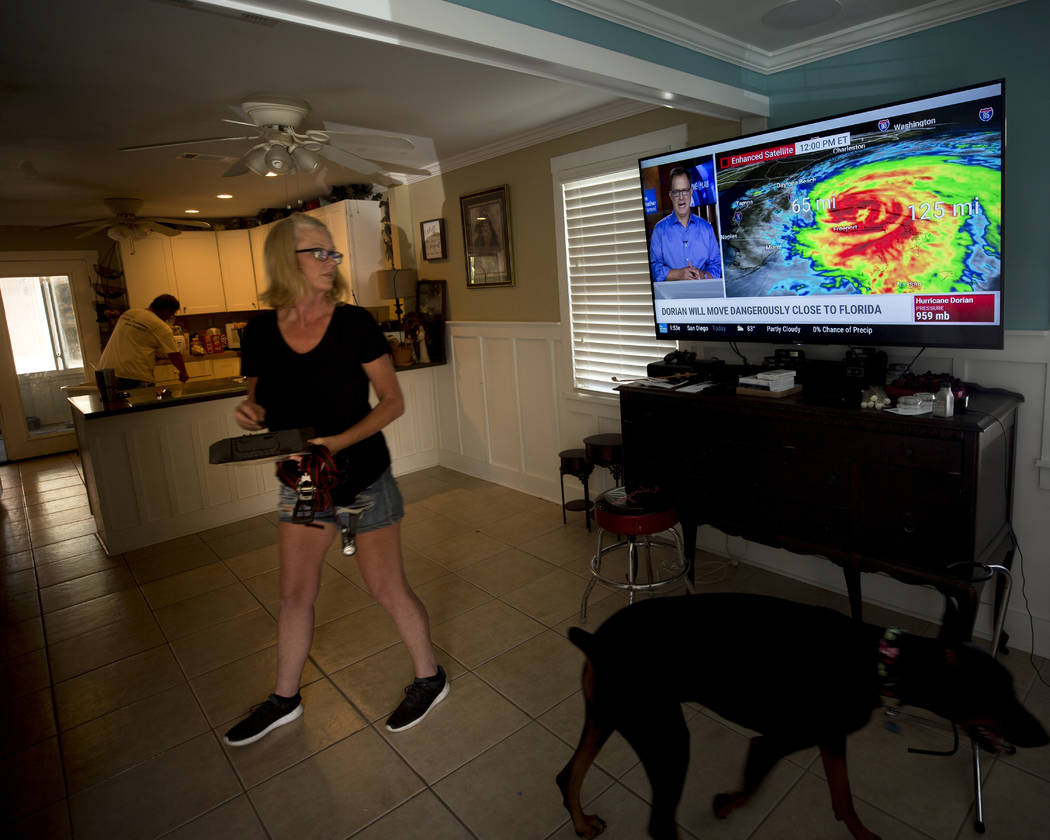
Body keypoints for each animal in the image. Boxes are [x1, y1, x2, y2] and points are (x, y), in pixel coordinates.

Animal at [554, 592, 1045, 839]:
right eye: (999, 694)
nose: (1043, 735)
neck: (877, 660)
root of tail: (594, 639)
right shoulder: (773, 742)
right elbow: (749, 789)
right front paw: (723, 804)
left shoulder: (832, 737)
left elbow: (844, 799)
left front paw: (866, 837)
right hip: (666, 737)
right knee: (659, 824)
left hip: (609, 716)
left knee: (568, 773)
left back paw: (581, 823)